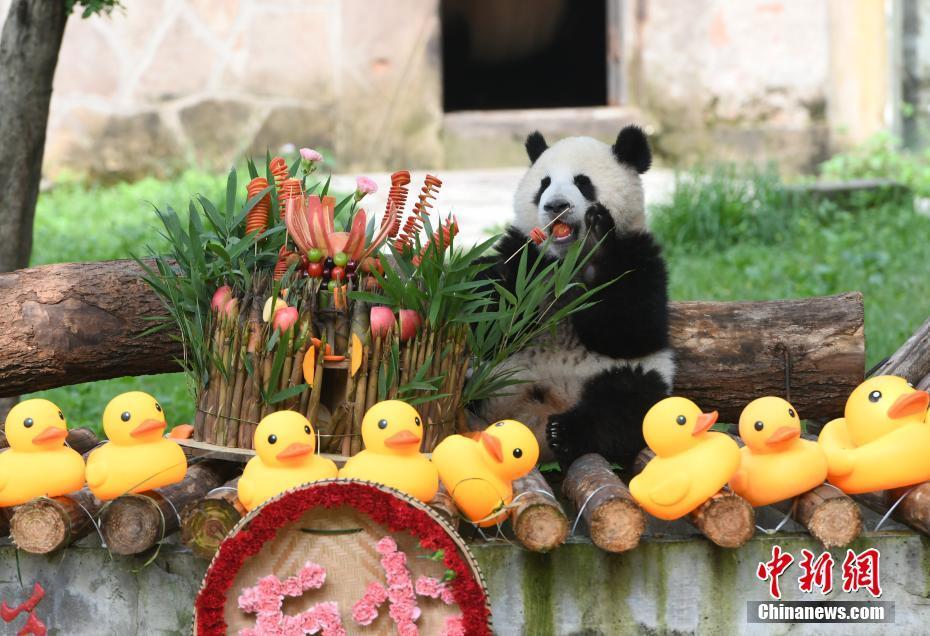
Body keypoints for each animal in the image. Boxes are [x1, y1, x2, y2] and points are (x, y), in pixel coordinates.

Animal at [478, 125, 676, 468]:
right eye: (543, 184)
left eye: (583, 182)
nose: (555, 206)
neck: (565, 262)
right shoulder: (524, 252)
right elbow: (491, 321)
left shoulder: (638, 254)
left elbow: (632, 328)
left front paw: (598, 239)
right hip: (490, 376)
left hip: (630, 375)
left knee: (628, 405)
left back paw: (566, 432)